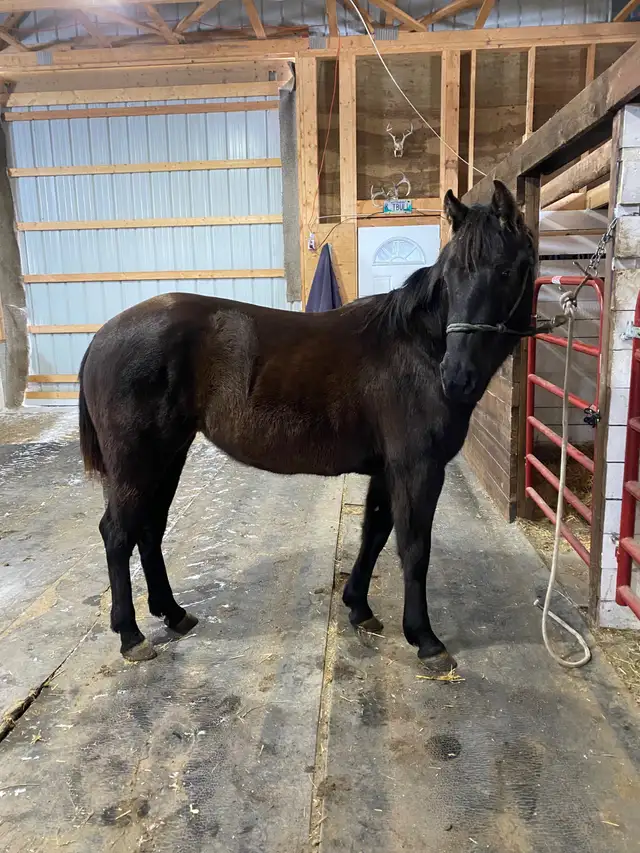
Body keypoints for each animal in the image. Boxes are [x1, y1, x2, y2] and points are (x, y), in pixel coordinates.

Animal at [78, 180, 537, 671]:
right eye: (450, 276)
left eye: (504, 271)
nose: (457, 376)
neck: (417, 347)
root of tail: (102, 337)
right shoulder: (418, 468)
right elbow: (414, 548)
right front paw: (425, 638)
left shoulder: (388, 469)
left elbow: (375, 532)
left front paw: (359, 607)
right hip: (138, 461)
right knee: (118, 533)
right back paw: (130, 634)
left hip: (168, 455)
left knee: (149, 529)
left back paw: (174, 613)